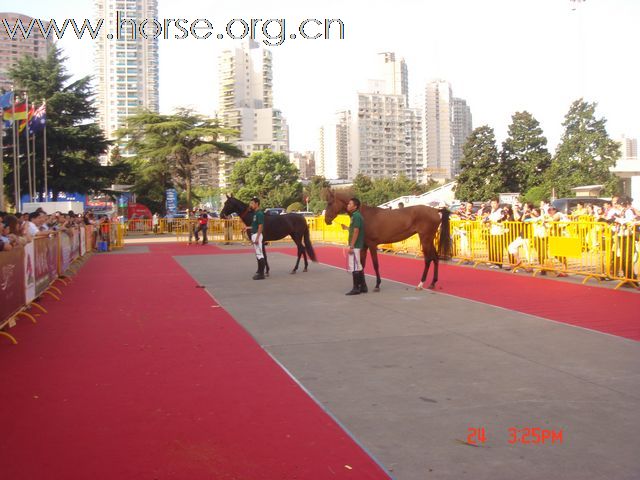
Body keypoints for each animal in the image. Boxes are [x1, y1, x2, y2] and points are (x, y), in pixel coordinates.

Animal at [323, 189, 452, 291]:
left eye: (330, 203)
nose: (326, 220)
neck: (365, 216)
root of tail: (435, 211)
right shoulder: (364, 246)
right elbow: (362, 265)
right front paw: (362, 286)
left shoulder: (372, 245)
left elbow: (375, 264)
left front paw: (377, 285)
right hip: (429, 239)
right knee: (435, 258)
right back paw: (432, 283)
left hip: (425, 239)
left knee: (428, 259)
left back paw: (420, 284)